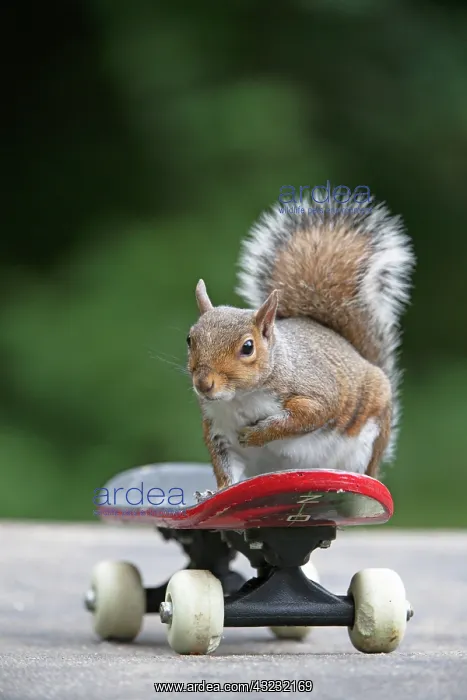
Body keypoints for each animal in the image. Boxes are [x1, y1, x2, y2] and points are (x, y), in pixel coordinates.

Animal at [186, 198, 415, 491]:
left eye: (248, 347)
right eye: (190, 339)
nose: (203, 384)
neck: (240, 398)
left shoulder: (316, 391)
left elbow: (306, 417)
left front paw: (258, 434)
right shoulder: (218, 429)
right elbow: (225, 467)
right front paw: (216, 491)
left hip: (368, 440)